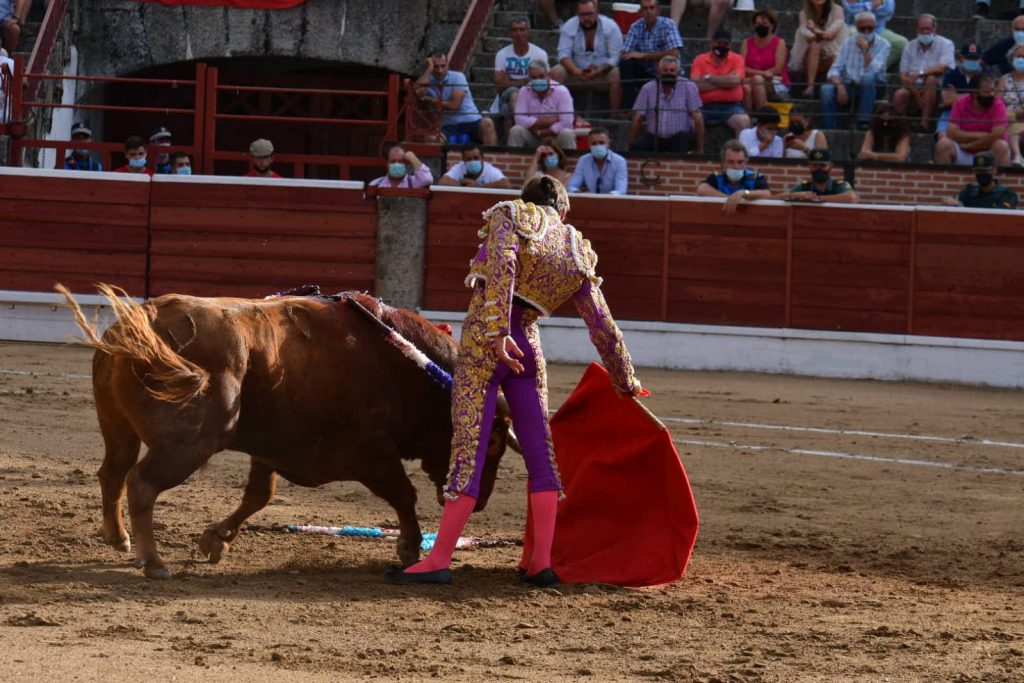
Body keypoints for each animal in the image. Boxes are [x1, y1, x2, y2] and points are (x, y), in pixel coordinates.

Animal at [54, 286, 509, 581]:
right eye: (493, 443)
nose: (482, 501)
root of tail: (142, 322)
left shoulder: (272, 447)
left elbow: (259, 495)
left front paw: (216, 540)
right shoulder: (371, 450)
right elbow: (403, 495)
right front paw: (410, 547)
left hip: (119, 429)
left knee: (113, 472)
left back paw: (119, 538)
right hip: (188, 443)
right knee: (142, 483)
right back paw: (153, 563)